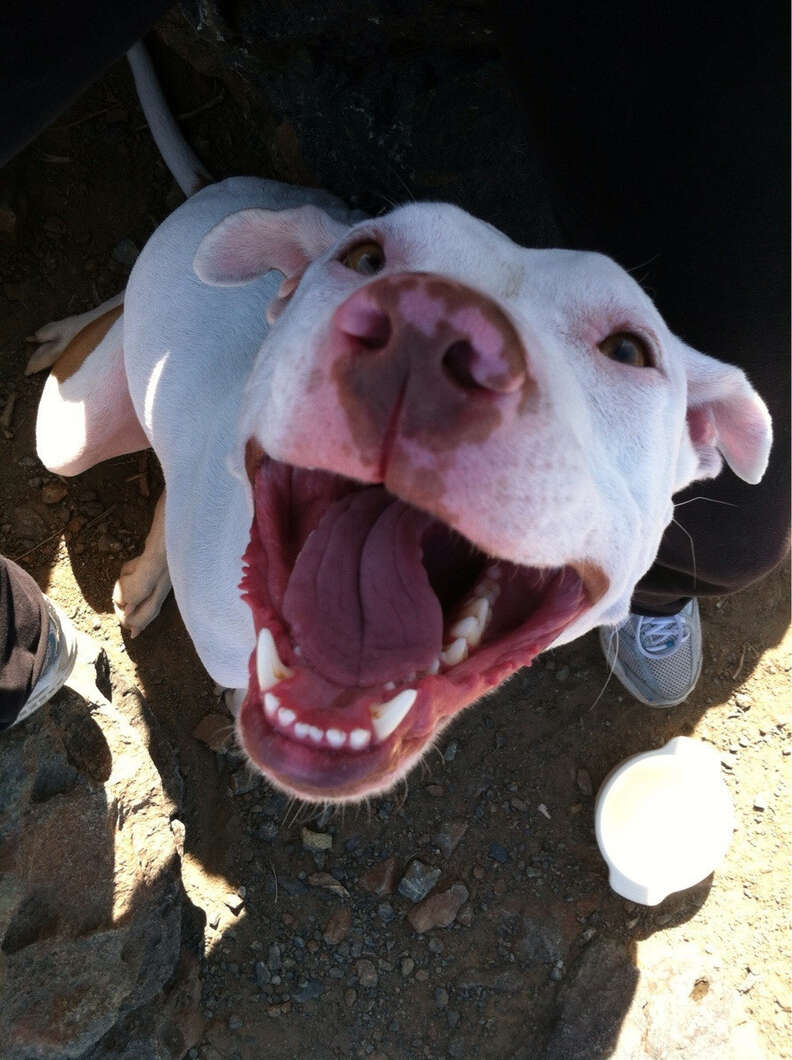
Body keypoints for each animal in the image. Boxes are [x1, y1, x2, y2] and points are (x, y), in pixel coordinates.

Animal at [29, 45, 767, 797]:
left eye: (628, 350)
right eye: (365, 258)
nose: (430, 328)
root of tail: (222, 192)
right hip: (64, 436)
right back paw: (67, 334)